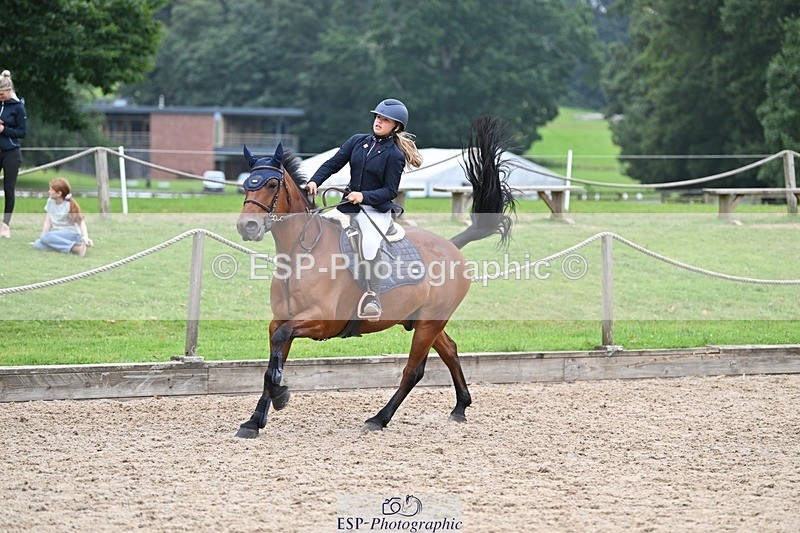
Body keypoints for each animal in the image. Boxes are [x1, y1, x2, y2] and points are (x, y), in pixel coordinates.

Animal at [234, 116, 515, 438]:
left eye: (271, 184)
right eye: (246, 185)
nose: (247, 226)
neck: (300, 253)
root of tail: (451, 245)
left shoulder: (320, 321)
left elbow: (278, 352)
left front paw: (280, 396)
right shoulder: (281, 320)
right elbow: (271, 363)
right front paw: (254, 421)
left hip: (429, 323)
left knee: (413, 371)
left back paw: (379, 418)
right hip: (425, 320)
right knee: (451, 351)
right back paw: (460, 407)